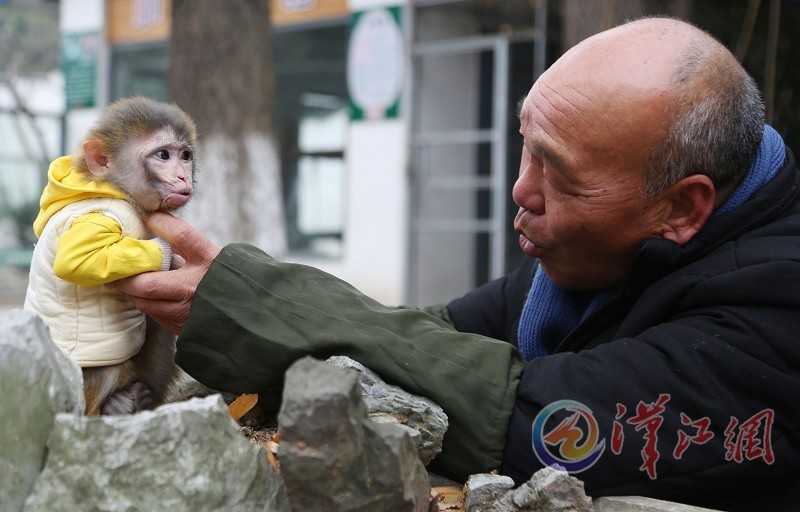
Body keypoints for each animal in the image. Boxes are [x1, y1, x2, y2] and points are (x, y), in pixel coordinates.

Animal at [24, 96, 197, 416]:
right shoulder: (101, 215)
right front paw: (165, 252)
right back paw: (111, 407)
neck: (117, 189)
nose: (183, 175)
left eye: (185, 156)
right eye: (164, 155)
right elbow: (77, 260)